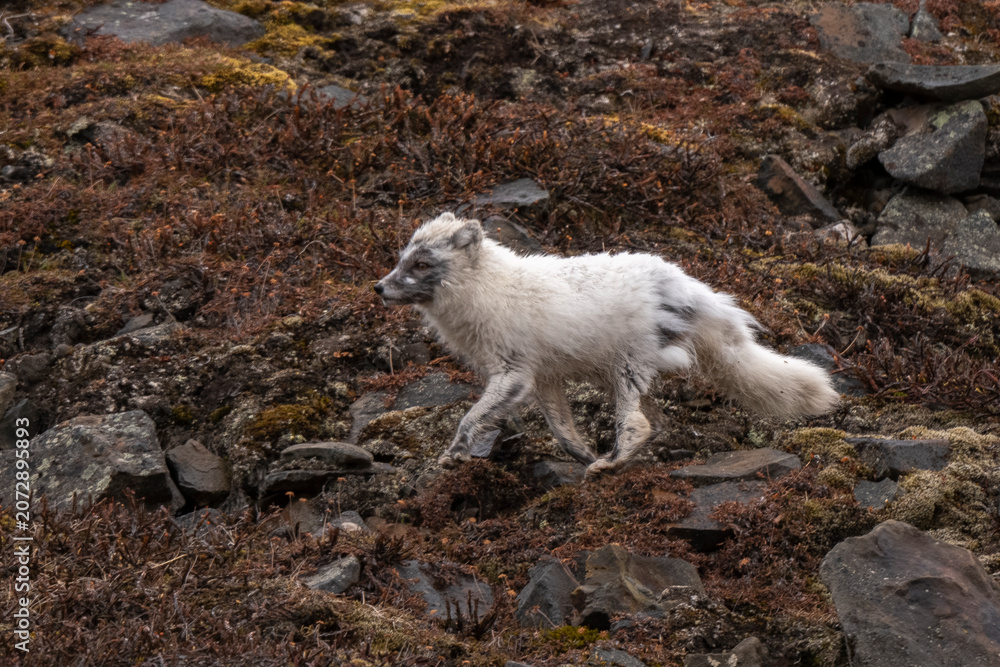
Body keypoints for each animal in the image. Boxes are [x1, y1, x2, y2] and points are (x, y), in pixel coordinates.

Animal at [374, 213, 839, 475]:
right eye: (401, 259)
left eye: (421, 264)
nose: (378, 288)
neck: (487, 289)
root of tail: (686, 286)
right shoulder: (543, 379)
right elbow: (563, 432)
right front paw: (580, 455)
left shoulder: (512, 374)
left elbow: (469, 418)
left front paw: (454, 454)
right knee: (655, 422)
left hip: (626, 368)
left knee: (639, 424)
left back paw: (612, 463)